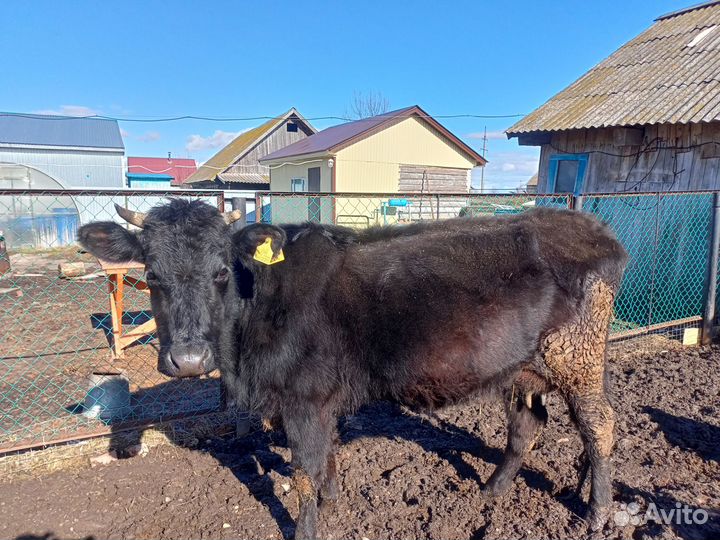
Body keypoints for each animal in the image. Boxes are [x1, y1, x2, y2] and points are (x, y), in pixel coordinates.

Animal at [78, 199, 627, 540]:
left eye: (220, 272)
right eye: (151, 274)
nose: (189, 360)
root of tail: (595, 229)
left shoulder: (302, 399)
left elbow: (303, 471)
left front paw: (306, 529)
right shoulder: (316, 400)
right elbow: (328, 458)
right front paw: (335, 505)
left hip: (576, 356)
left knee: (599, 425)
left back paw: (597, 512)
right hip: (523, 368)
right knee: (527, 425)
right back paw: (491, 491)